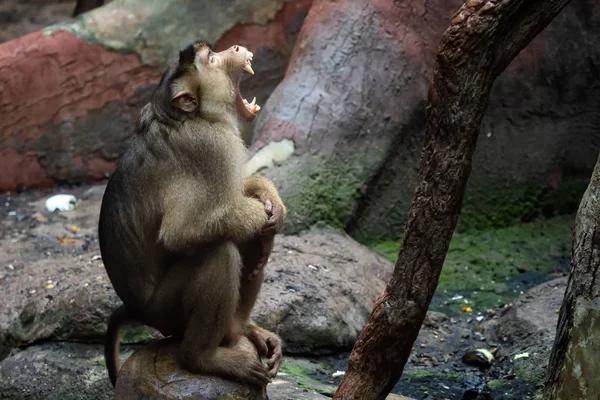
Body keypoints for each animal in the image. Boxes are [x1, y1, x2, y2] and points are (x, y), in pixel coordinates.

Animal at [98, 40, 286, 388]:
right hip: (167, 311)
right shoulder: (212, 145)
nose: (235, 46)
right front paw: (261, 215)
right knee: (220, 251)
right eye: (211, 59)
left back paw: (242, 329)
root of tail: (138, 309)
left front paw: (269, 197)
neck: (187, 116)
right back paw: (203, 357)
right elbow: (181, 232)